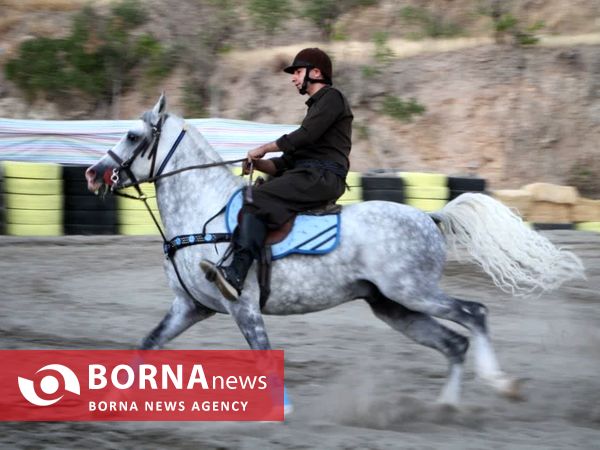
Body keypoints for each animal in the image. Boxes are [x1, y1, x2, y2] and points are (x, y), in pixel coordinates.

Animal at [85, 96, 584, 412]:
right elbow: (144, 347)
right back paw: (446, 406)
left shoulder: (242, 307)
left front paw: (283, 410)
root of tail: (431, 216)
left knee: (475, 314)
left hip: (414, 293)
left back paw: (500, 384)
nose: (92, 174)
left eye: (132, 135)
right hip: (395, 307)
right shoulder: (189, 307)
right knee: (454, 342)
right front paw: (104, 401)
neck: (203, 212)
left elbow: (263, 356)